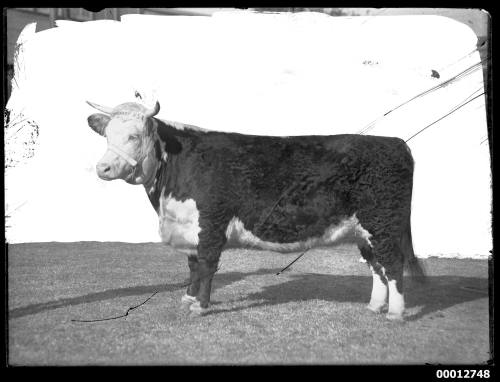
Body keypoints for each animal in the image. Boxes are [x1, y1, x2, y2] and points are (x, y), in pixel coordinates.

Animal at [88, 97, 424, 320]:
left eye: (134, 136)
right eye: (106, 135)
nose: (102, 168)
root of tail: (396, 143)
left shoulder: (211, 223)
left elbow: (207, 266)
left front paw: (200, 306)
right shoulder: (190, 226)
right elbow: (193, 266)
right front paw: (187, 298)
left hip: (383, 224)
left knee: (393, 265)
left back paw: (395, 313)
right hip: (365, 231)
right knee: (377, 267)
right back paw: (375, 305)